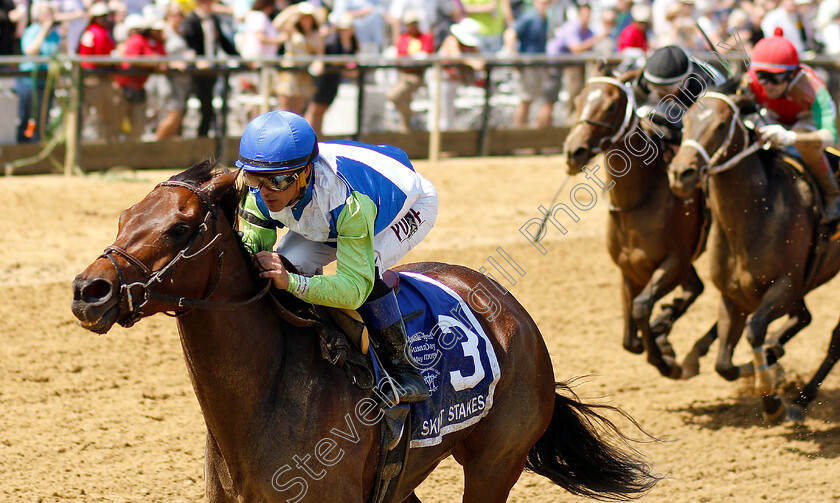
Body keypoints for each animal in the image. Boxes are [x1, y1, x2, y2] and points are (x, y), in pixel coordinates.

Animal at [72, 163, 660, 502]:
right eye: (124, 216)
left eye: (179, 228)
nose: (88, 290)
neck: (263, 400)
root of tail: (511, 311)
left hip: (496, 463)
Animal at [668, 92, 840, 424]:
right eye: (686, 120)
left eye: (722, 124)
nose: (681, 174)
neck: (754, 214)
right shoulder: (731, 296)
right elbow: (723, 364)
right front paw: (759, 368)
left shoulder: (786, 287)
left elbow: (756, 328)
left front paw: (772, 402)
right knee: (805, 317)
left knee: (835, 337)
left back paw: (801, 399)